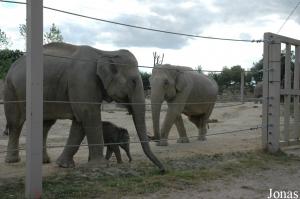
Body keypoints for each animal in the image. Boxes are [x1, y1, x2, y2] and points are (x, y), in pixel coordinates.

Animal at [4, 42, 164, 173]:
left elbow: (80, 122)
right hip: (11, 88)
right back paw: (12, 161)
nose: (163, 170)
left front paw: (64, 165)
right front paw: (100, 166)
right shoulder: (83, 81)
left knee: (45, 124)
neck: (105, 52)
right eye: (134, 81)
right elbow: (88, 114)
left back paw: (44, 161)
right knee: (16, 123)